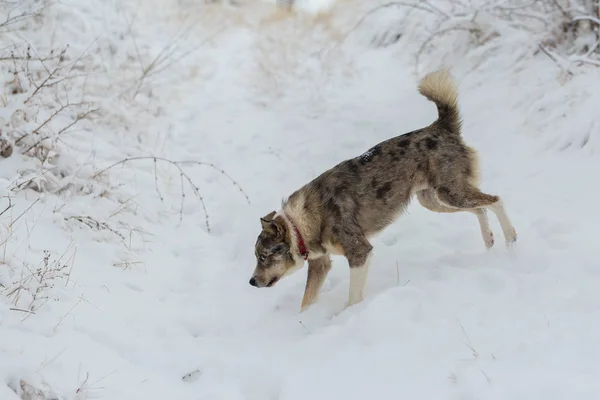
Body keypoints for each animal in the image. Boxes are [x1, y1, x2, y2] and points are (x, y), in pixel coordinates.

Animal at [247, 69, 516, 312]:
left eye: (263, 257)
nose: (251, 282)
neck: (301, 224)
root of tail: (440, 127)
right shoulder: (320, 264)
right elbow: (306, 302)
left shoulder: (359, 252)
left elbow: (353, 297)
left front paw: (348, 316)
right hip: (436, 199)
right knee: (480, 208)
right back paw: (489, 240)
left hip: (451, 193)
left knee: (496, 200)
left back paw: (511, 240)